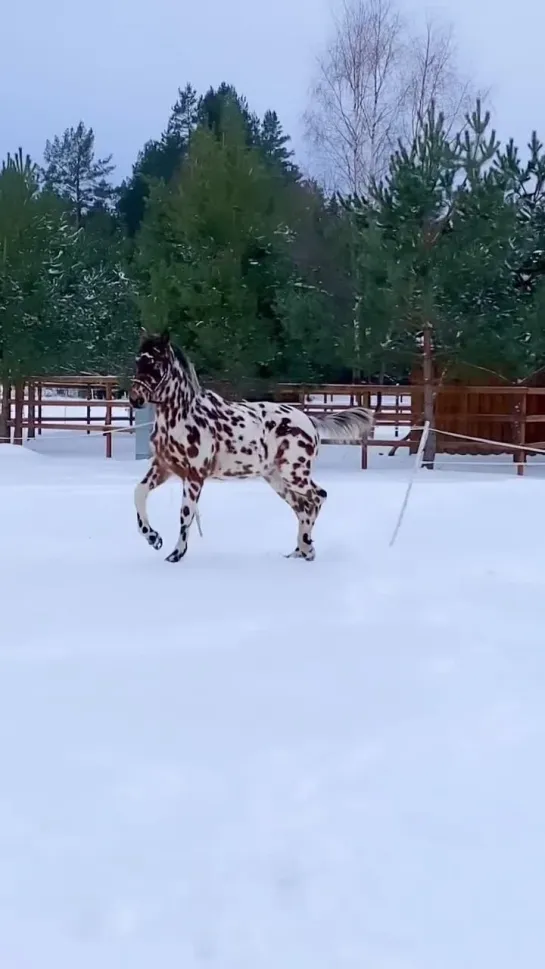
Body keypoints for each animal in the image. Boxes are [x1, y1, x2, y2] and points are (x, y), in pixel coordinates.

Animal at [129, 330, 374, 564]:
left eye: (155, 363)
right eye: (137, 361)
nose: (135, 398)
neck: (181, 416)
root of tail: (309, 421)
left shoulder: (195, 475)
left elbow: (185, 514)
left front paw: (176, 554)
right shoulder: (163, 467)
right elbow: (139, 493)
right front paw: (153, 537)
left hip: (295, 474)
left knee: (317, 498)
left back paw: (306, 547)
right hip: (277, 479)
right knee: (302, 507)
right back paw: (300, 551)